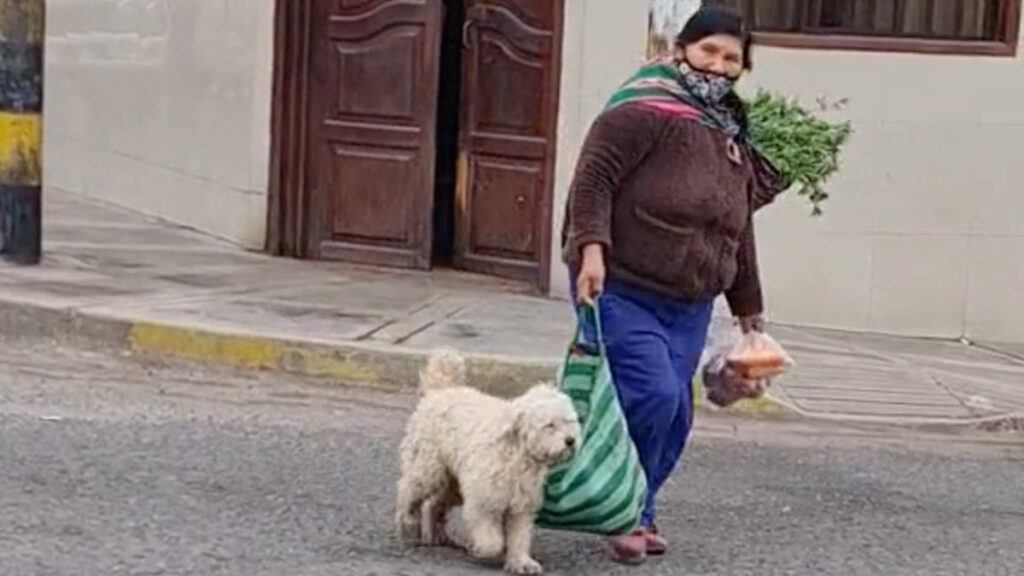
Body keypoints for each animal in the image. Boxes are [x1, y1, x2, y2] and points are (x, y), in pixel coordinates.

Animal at [395, 348, 581, 569]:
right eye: (549, 425)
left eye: (569, 421)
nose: (570, 440)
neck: (516, 451)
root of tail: (441, 390)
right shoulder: (483, 500)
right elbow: (492, 541)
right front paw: (483, 549)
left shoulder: (520, 504)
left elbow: (519, 536)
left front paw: (521, 561)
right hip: (427, 470)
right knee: (408, 490)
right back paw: (406, 522)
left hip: (453, 483)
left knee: (434, 503)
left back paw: (438, 535)